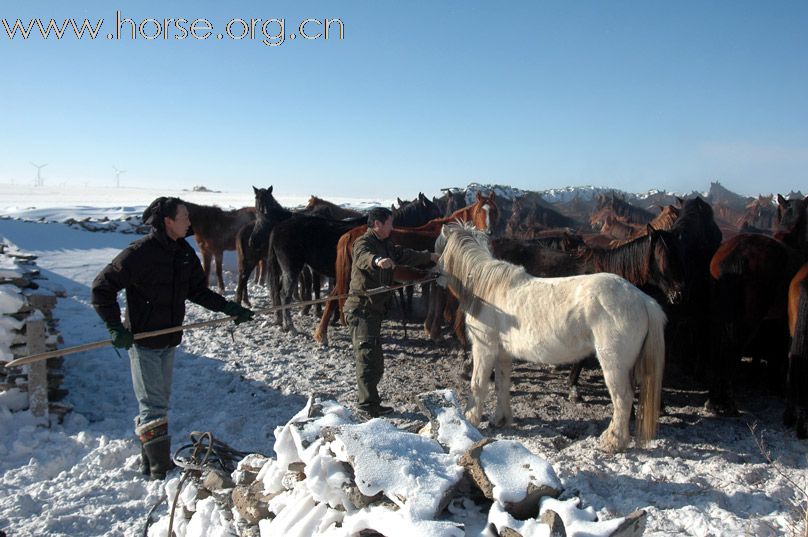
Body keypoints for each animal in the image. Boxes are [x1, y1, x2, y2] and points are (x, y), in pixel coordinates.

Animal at [314, 192, 498, 344]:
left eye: (494, 211)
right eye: (480, 211)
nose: (489, 232)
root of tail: (350, 234)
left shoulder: (433, 278)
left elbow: (433, 302)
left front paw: (429, 329)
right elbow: (440, 304)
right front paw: (437, 333)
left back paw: (321, 333)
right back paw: (322, 333)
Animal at [438, 222, 664, 452]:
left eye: (441, 247)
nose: (436, 273)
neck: (488, 290)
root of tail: (643, 299)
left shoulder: (484, 348)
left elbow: (477, 383)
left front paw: (470, 419)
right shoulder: (502, 353)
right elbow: (502, 384)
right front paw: (500, 419)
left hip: (613, 364)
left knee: (623, 399)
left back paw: (612, 441)